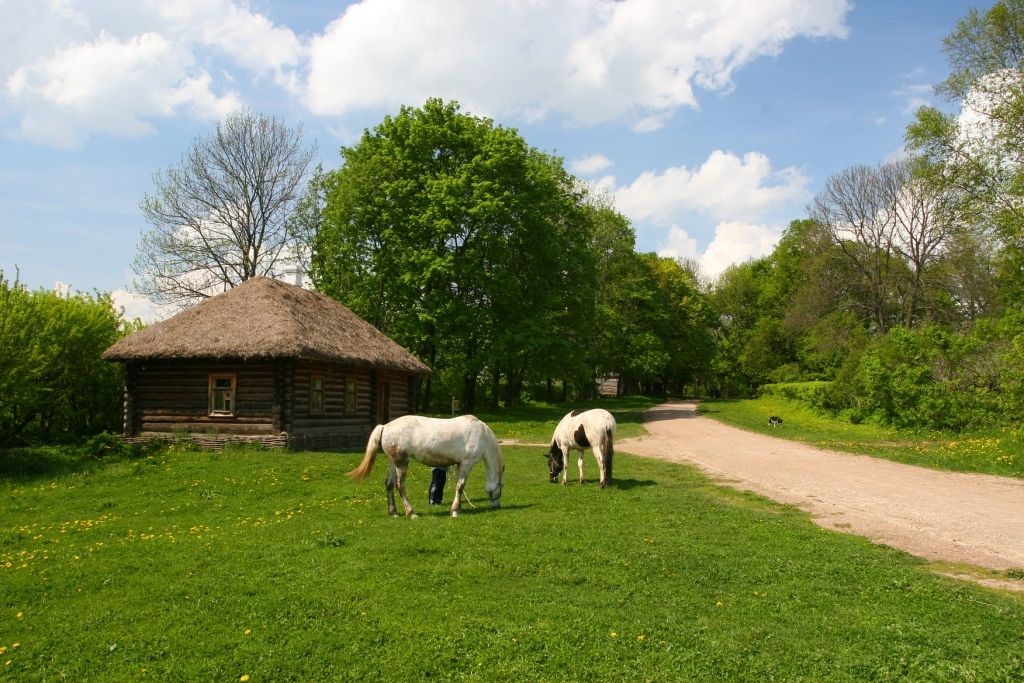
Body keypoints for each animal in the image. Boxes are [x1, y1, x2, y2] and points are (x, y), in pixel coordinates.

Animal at [348, 413, 503, 520]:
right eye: (501, 486)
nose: (497, 506)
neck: (481, 434)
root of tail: (385, 426)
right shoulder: (467, 463)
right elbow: (460, 486)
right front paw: (454, 511)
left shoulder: (459, 464)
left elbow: (458, 486)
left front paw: (457, 508)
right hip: (401, 463)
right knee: (400, 486)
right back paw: (411, 513)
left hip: (393, 463)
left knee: (389, 485)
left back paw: (394, 512)